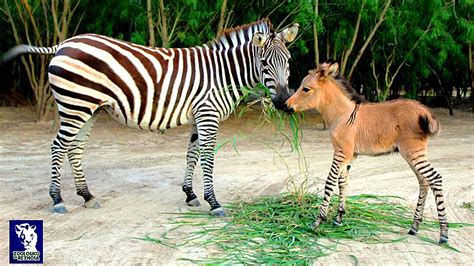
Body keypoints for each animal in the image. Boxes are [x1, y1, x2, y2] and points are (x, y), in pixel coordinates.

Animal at [2, 18, 300, 215]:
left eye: (288, 61)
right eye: (264, 63)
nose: (284, 103)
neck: (222, 74)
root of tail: (63, 43)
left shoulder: (198, 116)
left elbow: (191, 155)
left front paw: (190, 195)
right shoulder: (208, 114)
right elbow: (207, 157)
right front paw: (213, 202)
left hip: (89, 108)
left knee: (74, 148)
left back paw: (86, 196)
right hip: (75, 105)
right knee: (58, 146)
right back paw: (57, 199)